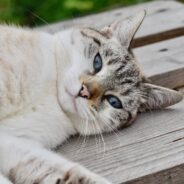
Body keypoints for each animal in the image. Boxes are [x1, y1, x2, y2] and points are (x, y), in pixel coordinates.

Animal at [0, 10, 182, 184]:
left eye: (114, 101)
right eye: (97, 62)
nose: (84, 92)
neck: (52, 100)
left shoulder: (15, 144)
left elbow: (69, 173)